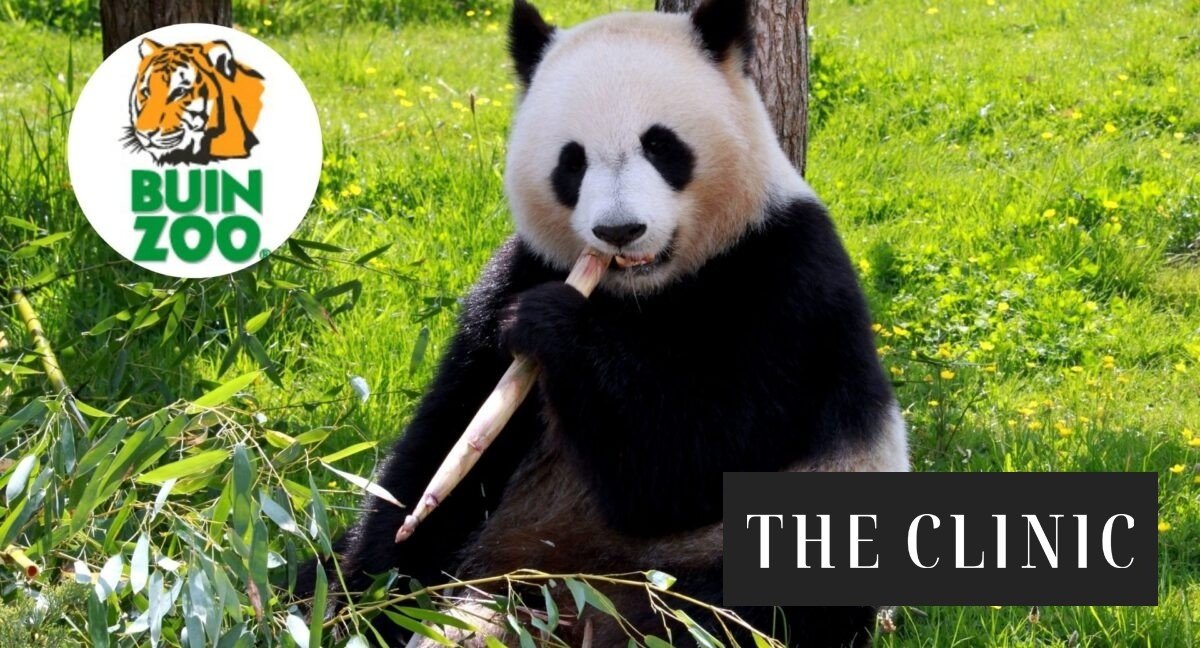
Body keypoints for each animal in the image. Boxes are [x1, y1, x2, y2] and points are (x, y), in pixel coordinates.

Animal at [311, 0, 908, 645]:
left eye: (662, 146)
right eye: (572, 162)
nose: (620, 231)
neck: (642, 293)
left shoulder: (786, 283)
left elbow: (689, 463)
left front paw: (553, 325)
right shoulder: (519, 271)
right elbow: (446, 439)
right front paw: (367, 597)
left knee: (734, 614)